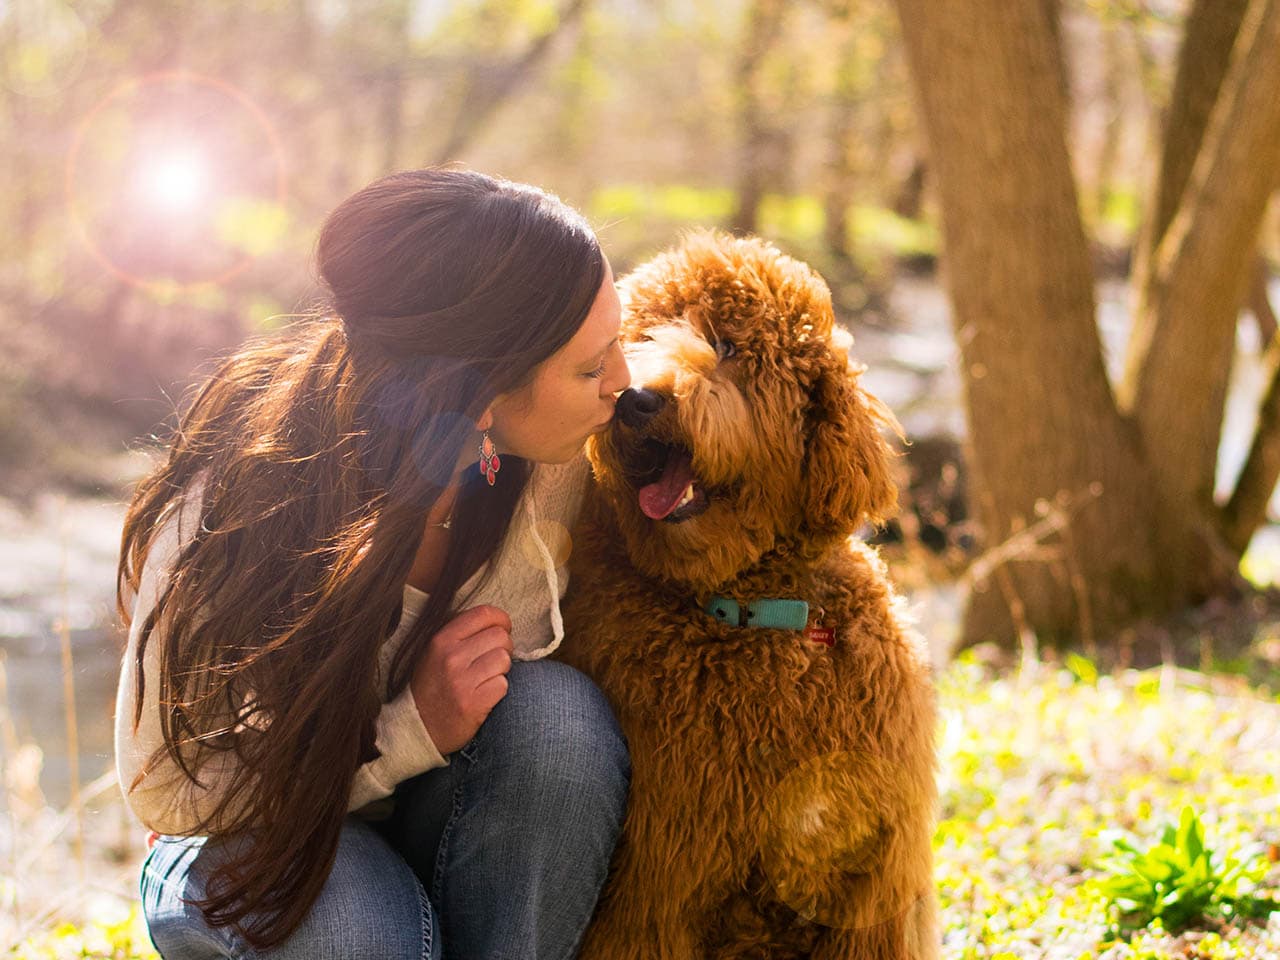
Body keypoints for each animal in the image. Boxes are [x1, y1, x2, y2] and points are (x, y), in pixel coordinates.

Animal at [552, 232, 942, 960]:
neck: (750, 613)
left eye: (729, 346)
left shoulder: (874, 890)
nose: (635, 400)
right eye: (637, 338)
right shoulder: (656, 892)